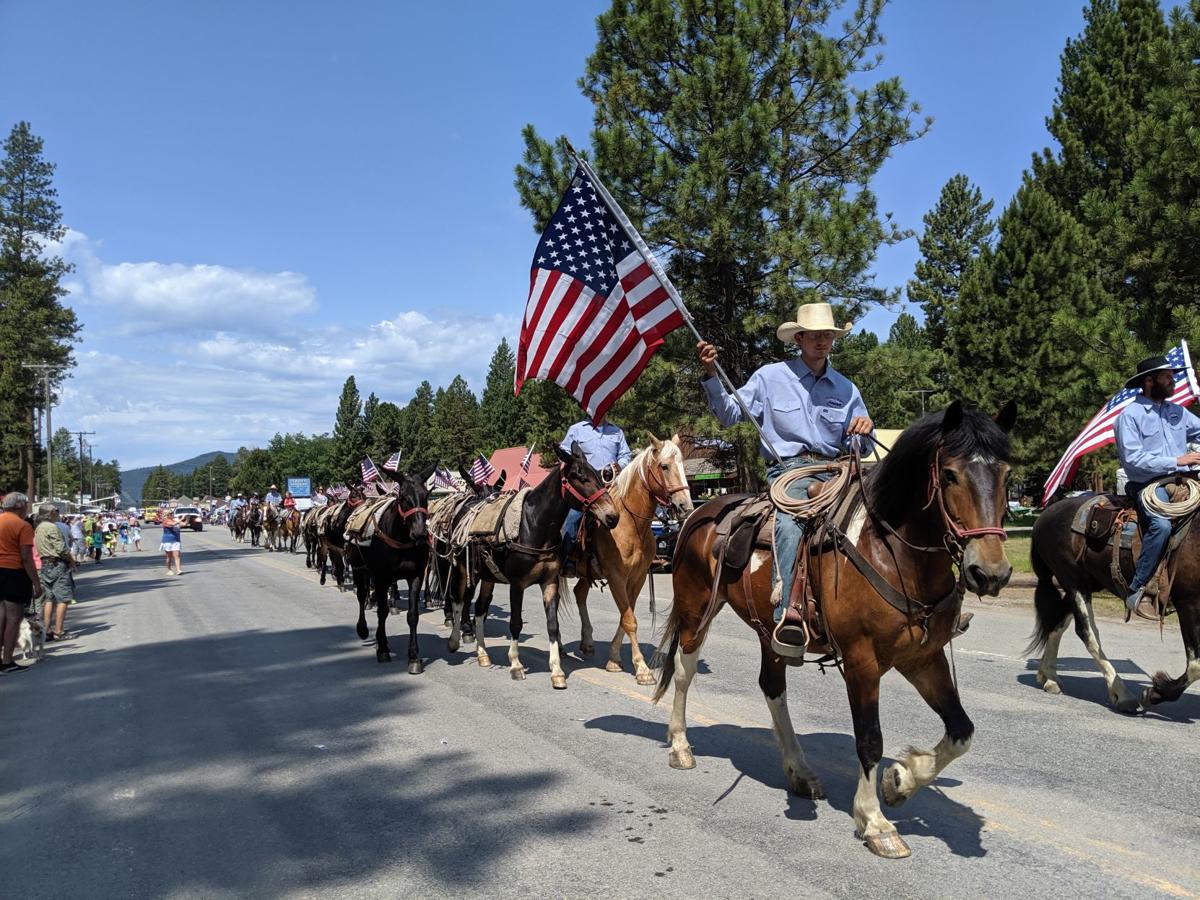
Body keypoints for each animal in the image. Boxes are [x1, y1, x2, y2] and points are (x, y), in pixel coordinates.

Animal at [448, 441, 624, 691]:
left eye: (599, 476)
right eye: (579, 477)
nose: (612, 516)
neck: (533, 526)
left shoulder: (550, 582)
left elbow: (552, 625)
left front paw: (557, 671)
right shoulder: (517, 584)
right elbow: (515, 623)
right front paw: (516, 665)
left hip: (489, 577)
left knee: (480, 609)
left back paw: (482, 654)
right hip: (464, 571)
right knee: (459, 601)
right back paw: (454, 641)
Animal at [571, 434, 696, 681]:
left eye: (682, 465)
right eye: (664, 466)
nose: (685, 506)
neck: (630, 523)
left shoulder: (637, 577)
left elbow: (625, 615)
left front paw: (614, 659)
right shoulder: (616, 576)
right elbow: (629, 619)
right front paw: (642, 668)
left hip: (586, 572)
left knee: (579, 593)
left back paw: (587, 642)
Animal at [657, 405, 1012, 864]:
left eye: (1006, 474)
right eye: (949, 475)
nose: (990, 572)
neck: (895, 553)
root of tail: (700, 512)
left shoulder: (923, 657)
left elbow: (961, 731)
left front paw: (900, 781)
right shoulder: (861, 662)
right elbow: (870, 740)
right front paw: (875, 822)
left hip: (769, 632)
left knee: (772, 687)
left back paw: (799, 771)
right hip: (695, 606)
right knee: (684, 672)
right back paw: (681, 747)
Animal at [1027, 489, 1200, 715]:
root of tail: (1045, 515)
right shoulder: (1188, 603)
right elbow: (1196, 665)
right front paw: (1154, 693)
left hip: (1086, 583)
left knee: (1057, 623)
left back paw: (1049, 677)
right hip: (1074, 582)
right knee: (1088, 633)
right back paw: (1122, 694)